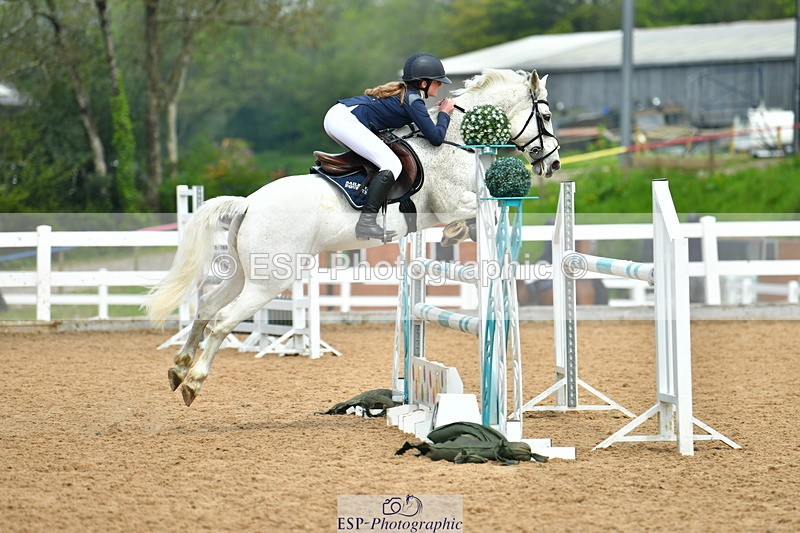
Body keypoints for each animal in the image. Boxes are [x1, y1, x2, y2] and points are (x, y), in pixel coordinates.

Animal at [145, 68, 561, 407]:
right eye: (546, 116)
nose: (554, 163)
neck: (454, 140)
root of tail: (248, 203)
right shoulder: (452, 201)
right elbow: (480, 211)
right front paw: (461, 232)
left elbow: (477, 220)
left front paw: (460, 235)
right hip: (271, 279)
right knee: (223, 320)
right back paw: (193, 383)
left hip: (245, 272)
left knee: (207, 306)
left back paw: (178, 369)